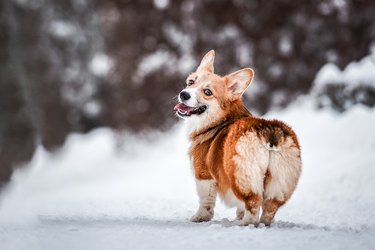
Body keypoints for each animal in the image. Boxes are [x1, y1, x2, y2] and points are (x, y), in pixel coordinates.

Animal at [174, 50, 302, 227]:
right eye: (191, 82)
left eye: (208, 92)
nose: (184, 94)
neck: (220, 120)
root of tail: (268, 131)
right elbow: (239, 208)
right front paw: (238, 216)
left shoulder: (203, 175)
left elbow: (205, 201)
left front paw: (199, 218)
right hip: (279, 182)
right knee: (269, 209)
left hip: (242, 177)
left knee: (253, 204)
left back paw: (242, 225)